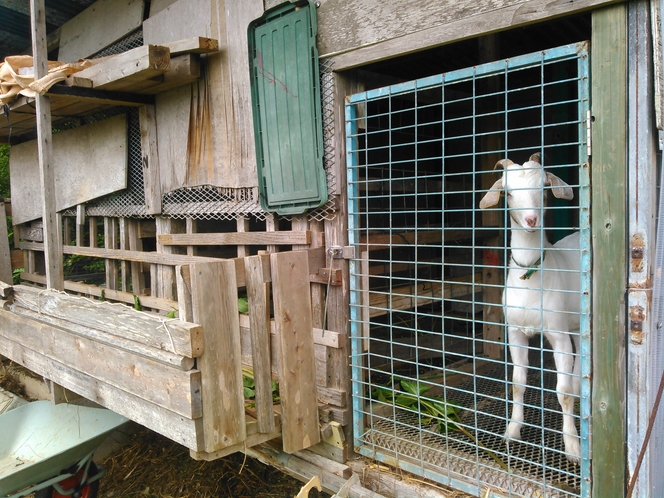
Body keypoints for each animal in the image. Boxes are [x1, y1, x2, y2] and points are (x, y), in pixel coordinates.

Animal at [478, 154, 580, 464]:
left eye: (543, 188)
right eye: (508, 193)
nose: (531, 220)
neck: (530, 277)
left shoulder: (557, 334)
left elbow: (564, 392)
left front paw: (573, 447)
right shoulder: (515, 333)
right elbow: (517, 383)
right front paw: (512, 430)